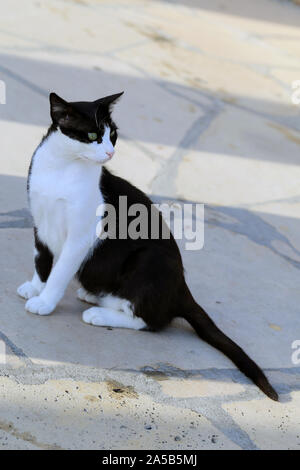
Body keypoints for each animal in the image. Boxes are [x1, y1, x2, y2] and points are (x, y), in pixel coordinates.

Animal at [17, 92, 278, 400]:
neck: (61, 168)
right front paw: (35, 287)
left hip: (150, 261)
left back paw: (99, 313)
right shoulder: (40, 220)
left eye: (112, 135)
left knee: (150, 320)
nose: (110, 153)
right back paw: (95, 296)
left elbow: (59, 273)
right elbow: (41, 260)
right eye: (92, 135)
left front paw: (45, 301)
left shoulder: (81, 236)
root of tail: (180, 288)